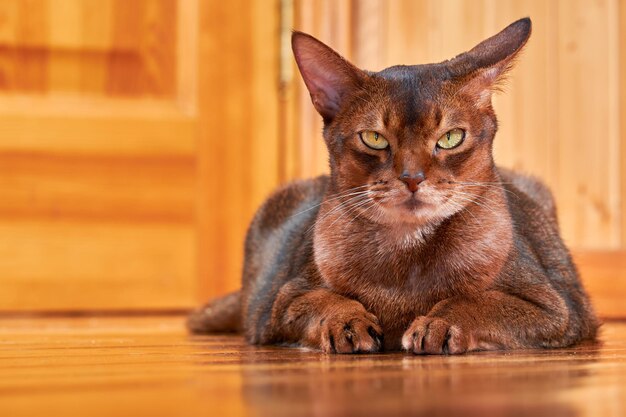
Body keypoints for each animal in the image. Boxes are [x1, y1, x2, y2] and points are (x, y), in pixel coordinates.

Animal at [188, 17, 596, 352]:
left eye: (451, 138)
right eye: (374, 138)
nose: (412, 178)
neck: (406, 254)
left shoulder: (558, 308)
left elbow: (481, 301)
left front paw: (439, 322)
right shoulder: (279, 303)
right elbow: (319, 301)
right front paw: (347, 321)